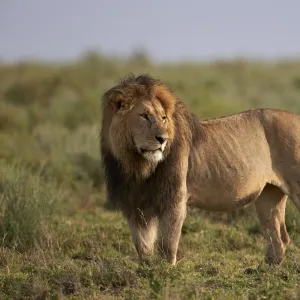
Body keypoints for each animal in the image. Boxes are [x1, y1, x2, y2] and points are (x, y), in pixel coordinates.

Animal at [100, 74, 300, 266]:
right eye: (144, 116)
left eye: (163, 118)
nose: (162, 139)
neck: (137, 165)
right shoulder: (133, 203)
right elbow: (142, 246)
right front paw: (147, 271)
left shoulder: (174, 199)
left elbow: (167, 245)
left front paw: (165, 272)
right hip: (268, 194)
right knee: (279, 237)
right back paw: (262, 271)